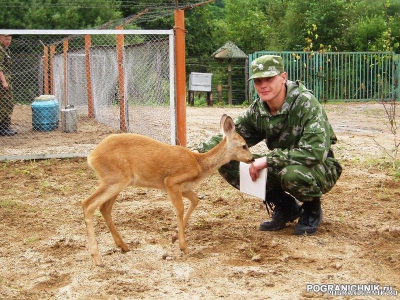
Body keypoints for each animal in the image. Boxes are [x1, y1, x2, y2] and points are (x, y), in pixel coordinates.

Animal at [83, 113, 255, 266]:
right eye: (244, 145)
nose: (252, 159)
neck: (199, 164)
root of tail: (91, 157)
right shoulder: (171, 182)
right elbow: (179, 209)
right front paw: (183, 246)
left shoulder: (184, 188)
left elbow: (195, 200)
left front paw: (174, 237)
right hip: (115, 179)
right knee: (88, 204)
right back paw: (98, 259)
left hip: (117, 182)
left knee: (104, 208)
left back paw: (123, 246)